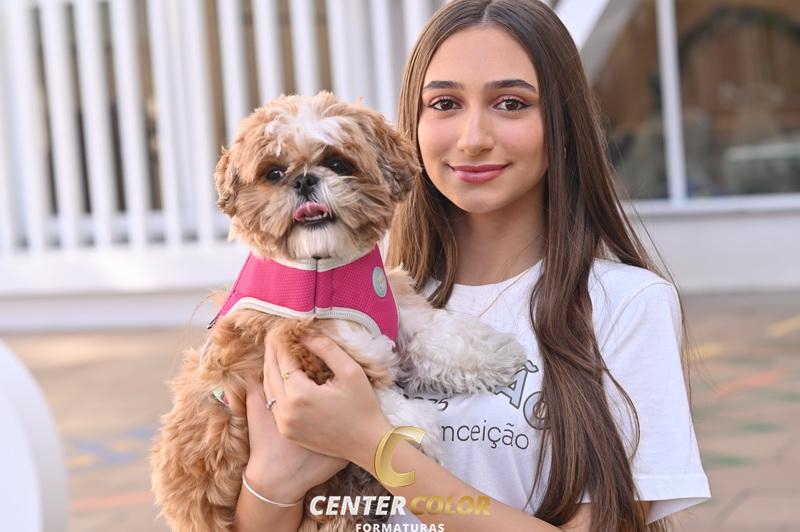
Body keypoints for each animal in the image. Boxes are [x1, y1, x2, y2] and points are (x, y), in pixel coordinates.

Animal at [151, 91, 526, 531]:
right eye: (274, 173)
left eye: (336, 164)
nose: (303, 180)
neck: (321, 275)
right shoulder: (291, 345)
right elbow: (372, 391)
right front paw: (417, 433)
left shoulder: (394, 308)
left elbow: (436, 334)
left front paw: (491, 353)